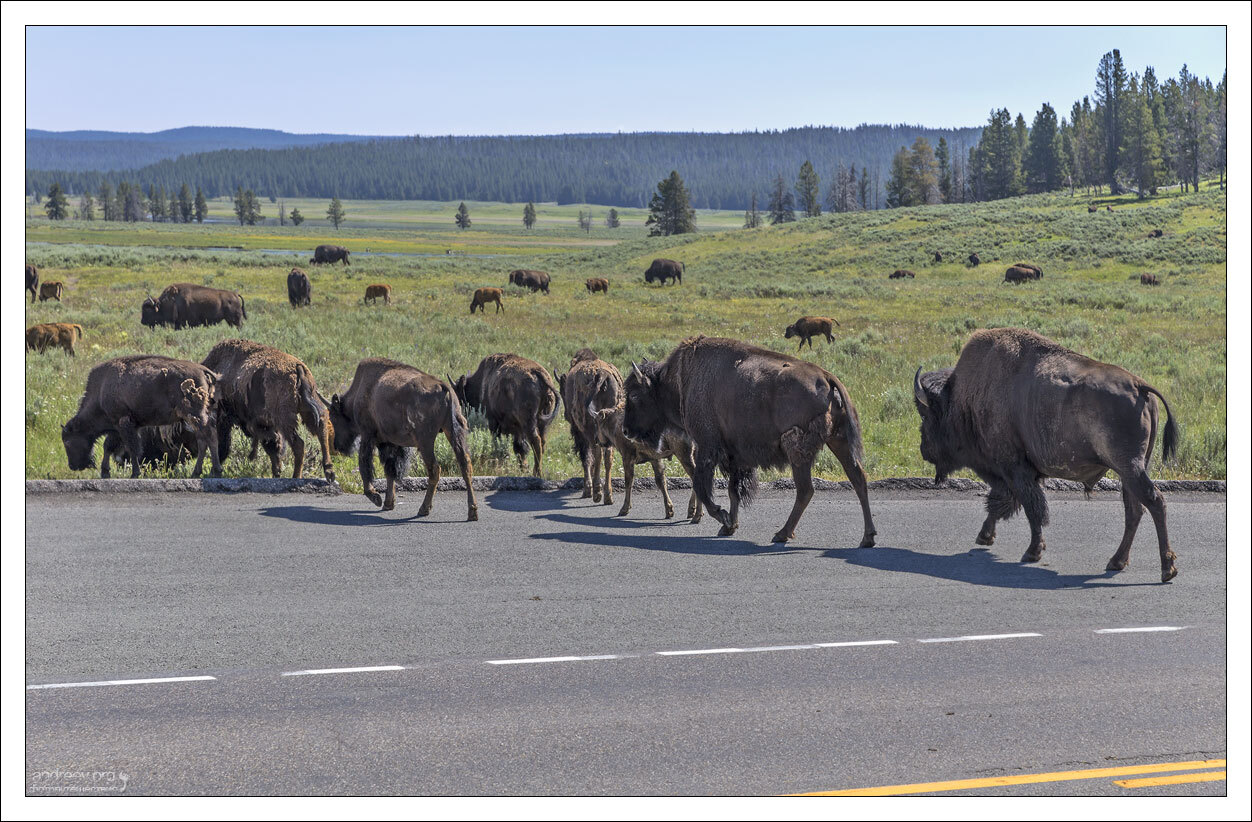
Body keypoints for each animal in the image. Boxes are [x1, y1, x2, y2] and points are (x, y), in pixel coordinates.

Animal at [61, 355, 225, 480]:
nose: (72, 466)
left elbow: (132, 448)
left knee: (209, 436)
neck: (101, 390)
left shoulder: (124, 423)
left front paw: (135, 473)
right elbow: (108, 446)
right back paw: (197, 473)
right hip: (195, 417)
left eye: (67, 442)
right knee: (203, 440)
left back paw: (215, 471)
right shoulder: (120, 427)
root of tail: (202, 370)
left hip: (194, 415)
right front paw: (105, 473)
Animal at [330, 355, 475, 515]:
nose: (337, 446)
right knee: (465, 465)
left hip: (426, 441)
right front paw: (388, 503)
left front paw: (376, 497)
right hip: (455, 431)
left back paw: (423, 509)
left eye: (334, 418)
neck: (359, 392)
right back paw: (472, 511)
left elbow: (365, 465)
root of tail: (444, 386)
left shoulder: (368, 435)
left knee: (434, 470)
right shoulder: (390, 442)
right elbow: (390, 470)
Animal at [620, 332, 876, 545]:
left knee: (806, 490)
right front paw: (729, 527)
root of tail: (826, 376)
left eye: (634, 395)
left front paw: (722, 517)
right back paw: (867, 538)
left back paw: (782, 534)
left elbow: (702, 485)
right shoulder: (734, 455)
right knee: (858, 478)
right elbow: (733, 490)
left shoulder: (707, 447)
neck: (676, 381)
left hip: (798, 450)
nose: (625, 430)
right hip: (838, 441)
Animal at [916, 322, 1176, 580]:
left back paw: (1167, 568)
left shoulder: (1013, 468)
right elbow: (1005, 502)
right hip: (1132, 470)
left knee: (1154, 502)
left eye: (926, 415)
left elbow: (1031, 508)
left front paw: (1032, 552)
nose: (923, 449)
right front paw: (985, 536)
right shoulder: (1018, 472)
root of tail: (1139, 386)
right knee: (1134, 510)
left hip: (1129, 468)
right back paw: (1117, 562)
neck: (965, 397)